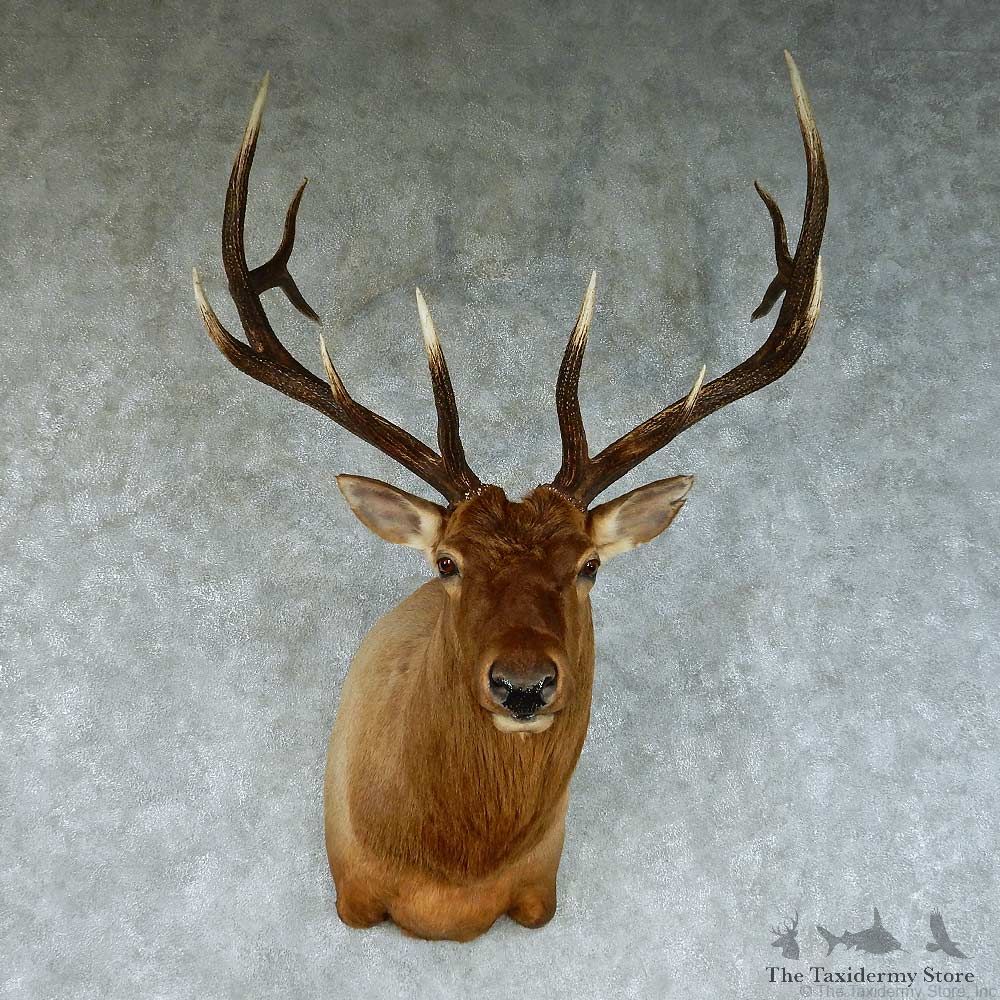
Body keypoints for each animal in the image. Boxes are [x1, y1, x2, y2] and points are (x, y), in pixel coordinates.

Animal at [192, 50, 827, 941]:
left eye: (591, 565)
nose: (523, 684)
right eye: (448, 563)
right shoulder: (351, 888)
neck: (450, 880)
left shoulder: (538, 892)